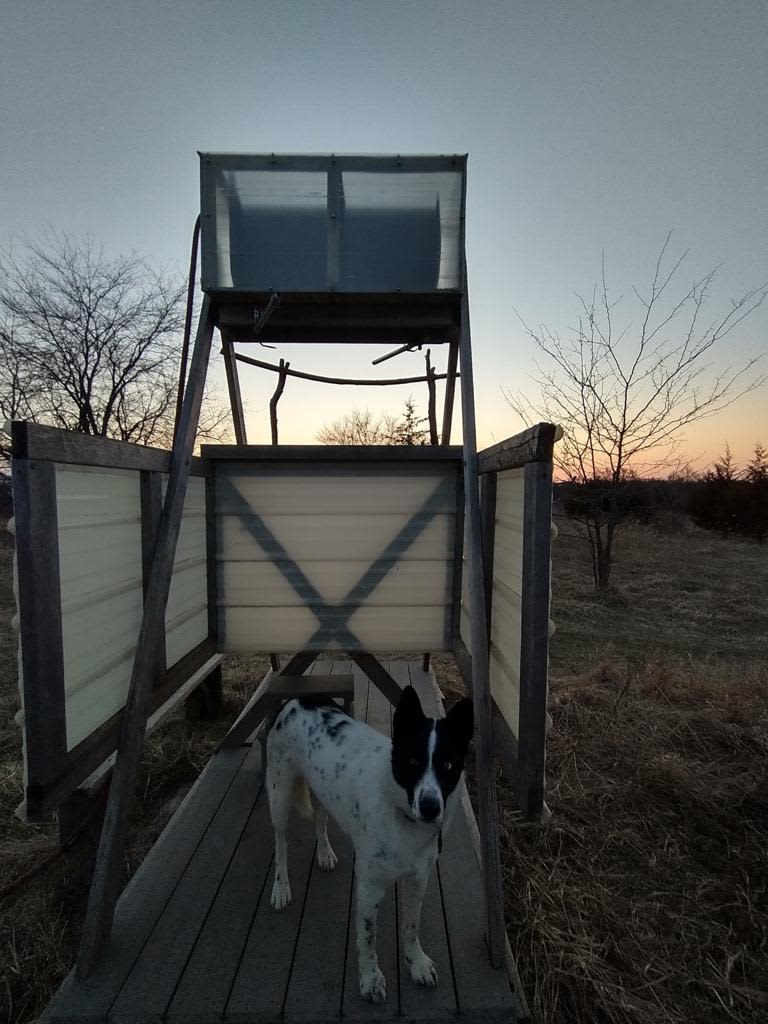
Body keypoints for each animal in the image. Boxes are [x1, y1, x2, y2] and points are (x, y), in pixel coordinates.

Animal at [268, 684, 479, 1003]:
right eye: (412, 761)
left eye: (448, 765)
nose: (430, 808)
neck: (402, 815)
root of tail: (296, 699)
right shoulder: (369, 888)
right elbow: (368, 938)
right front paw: (370, 979)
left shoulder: (418, 880)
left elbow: (411, 926)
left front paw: (416, 963)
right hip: (279, 795)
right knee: (280, 844)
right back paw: (281, 888)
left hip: (323, 788)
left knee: (320, 817)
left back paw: (325, 852)